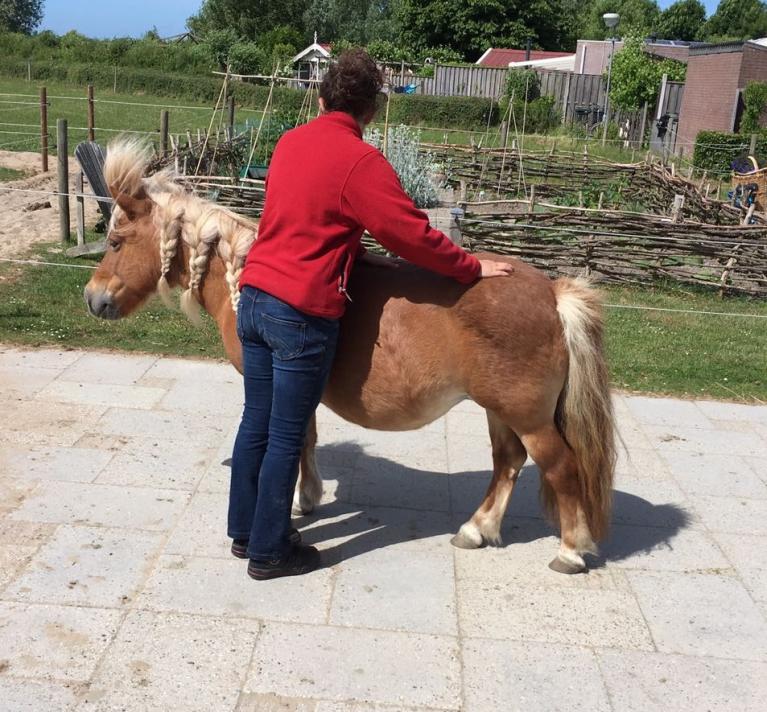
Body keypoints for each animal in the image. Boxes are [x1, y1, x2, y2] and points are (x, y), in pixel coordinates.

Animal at [84, 138, 616, 574]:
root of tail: (551, 292)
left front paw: (296, 508)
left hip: (527, 415)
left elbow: (288, 444)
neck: (247, 273)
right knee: (508, 462)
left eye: (115, 241)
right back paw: (476, 528)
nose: (93, 298)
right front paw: (309, 498)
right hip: (500, 410)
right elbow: (305, 439)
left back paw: (571, 550)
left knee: (559, 467)